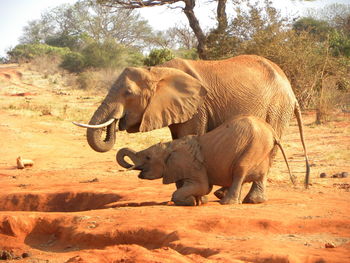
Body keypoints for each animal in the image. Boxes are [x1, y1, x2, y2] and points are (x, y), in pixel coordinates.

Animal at [73, 55, 308, 190]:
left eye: (128, 93)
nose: (116, 122)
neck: (157, 70)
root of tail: (290, 89)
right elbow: (176, 140)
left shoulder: (197, 107)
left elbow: (187, 138)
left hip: (277, 107)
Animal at [116, 117, 294, 206]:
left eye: (148, 158)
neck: (170, 146)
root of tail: (272, 131)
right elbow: (202, 187)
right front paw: (199, 201)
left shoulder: (193, 165)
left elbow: (202, 186)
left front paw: (189, 202)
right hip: (263, 150)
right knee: (261, 176)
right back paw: (254, 202)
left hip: (252, 148)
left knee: (239, 171)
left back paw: (227, 203)